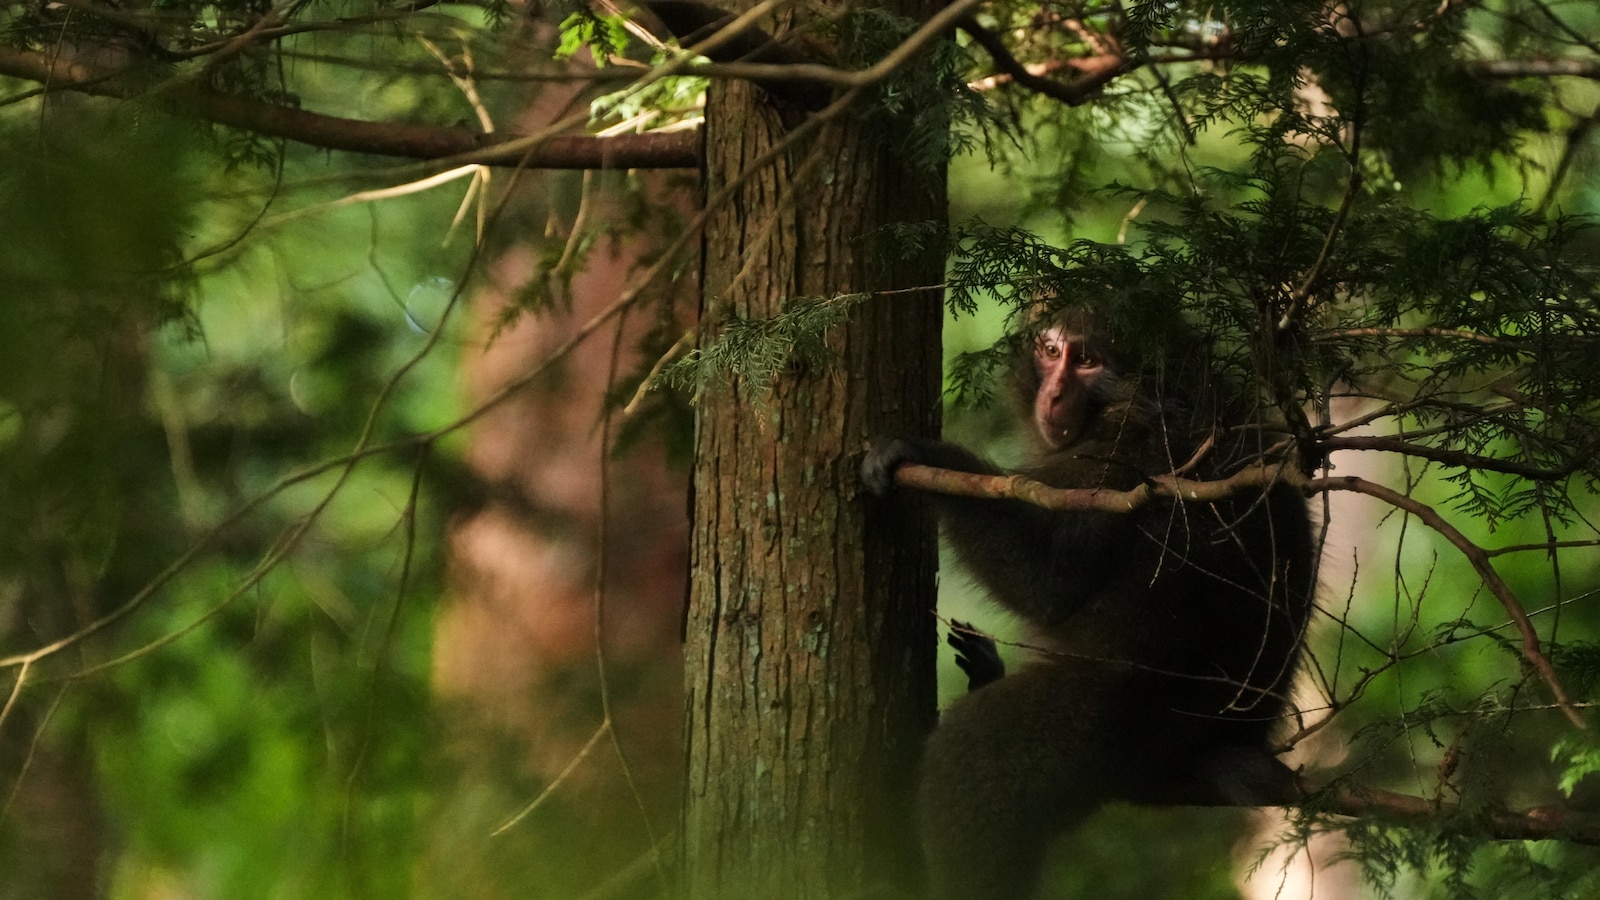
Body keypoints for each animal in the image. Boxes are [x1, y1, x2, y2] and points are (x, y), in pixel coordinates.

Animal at [861, 307, 1316, 900]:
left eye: (1087, 360)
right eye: (1051, 352)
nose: (1054, 395)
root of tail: (1231, 739)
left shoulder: (1124, 454)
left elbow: (1047, 579)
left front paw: (921, 455)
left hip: (1121, 724)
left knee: (976, 760)